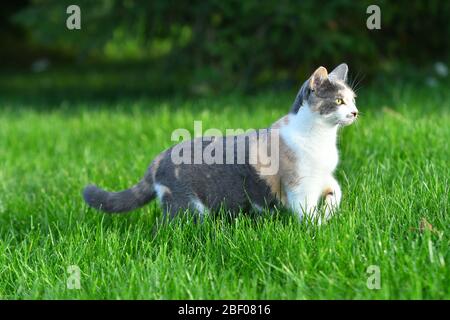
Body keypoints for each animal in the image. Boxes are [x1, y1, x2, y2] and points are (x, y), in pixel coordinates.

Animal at [83, 63, 358, 224]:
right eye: (338, 101)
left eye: (353, 99)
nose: (355, 112)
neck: (322, 139)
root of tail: (160, 157)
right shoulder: (300, 186)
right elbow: (307, 213)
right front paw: (317, 228)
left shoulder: (323, 178)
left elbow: (336, 190)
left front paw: (329, 211)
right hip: (186, 206)